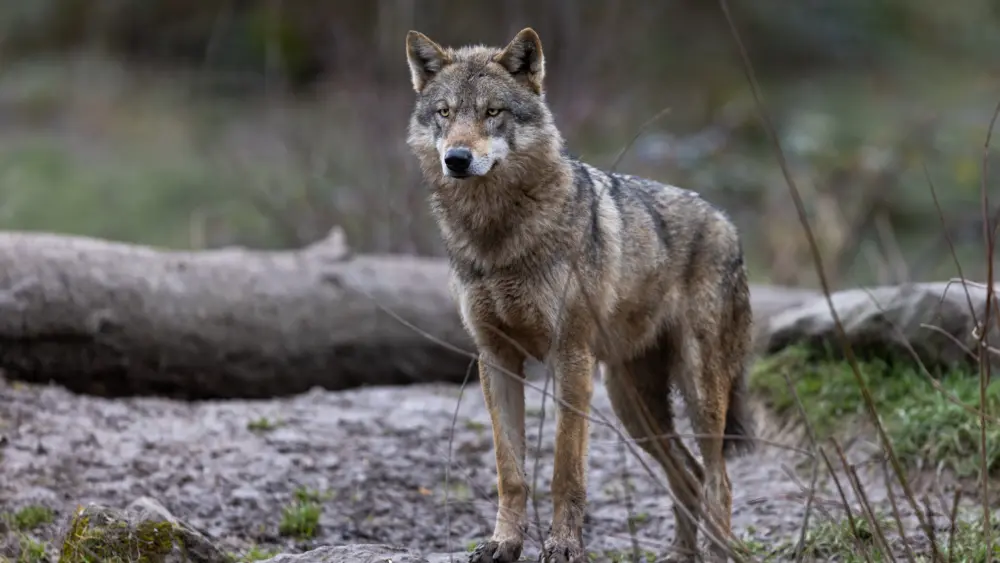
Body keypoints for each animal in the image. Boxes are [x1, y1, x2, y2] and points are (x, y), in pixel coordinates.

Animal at [405, 27, 755, 563]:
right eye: (445, 112)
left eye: (492, 112)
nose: (457, 159)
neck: (497, 236)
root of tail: (728, 224)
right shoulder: (496, 357)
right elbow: (511, 472)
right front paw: (503, 543)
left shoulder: (570, 358)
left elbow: (564, 470)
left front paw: (564, 545)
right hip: (633, 406)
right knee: (690, 475)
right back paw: (681, 554)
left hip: (697, 394)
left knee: (719, 479)